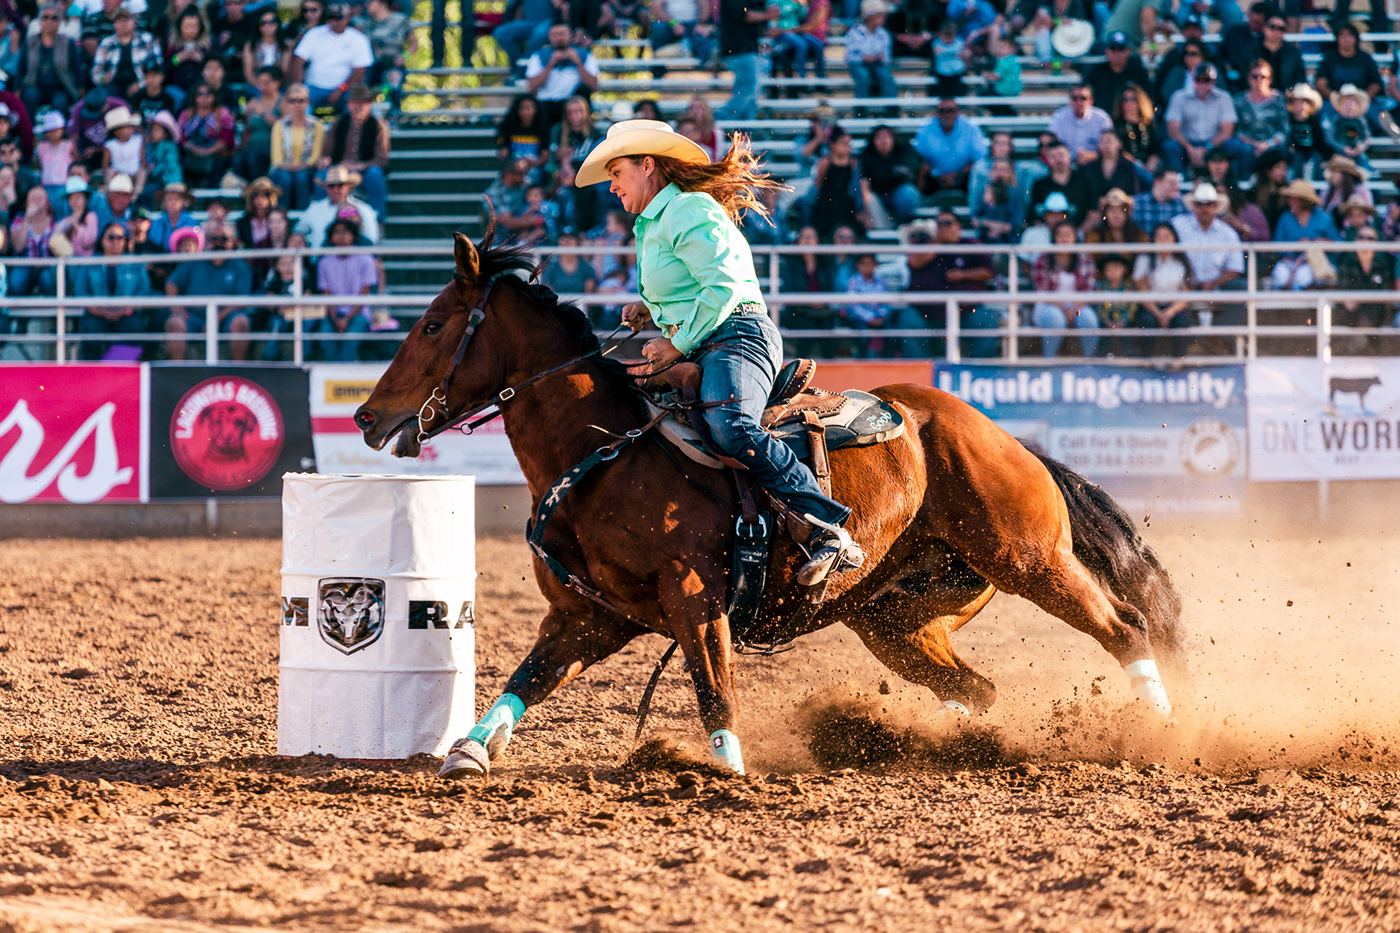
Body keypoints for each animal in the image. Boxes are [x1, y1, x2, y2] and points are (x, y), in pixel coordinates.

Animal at [350, 232, 1181, 778]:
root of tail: (1001, 435)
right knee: (976, 688)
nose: (365, 416)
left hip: (1027, 557)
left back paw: (1163, 728)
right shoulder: (588, 616)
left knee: (1123, 625)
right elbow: (527, 677)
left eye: (432, 324)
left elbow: (713, 687)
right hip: (895, 617)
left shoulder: (694, 599)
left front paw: (725, 768)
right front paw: (468, 748)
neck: (606, 453)